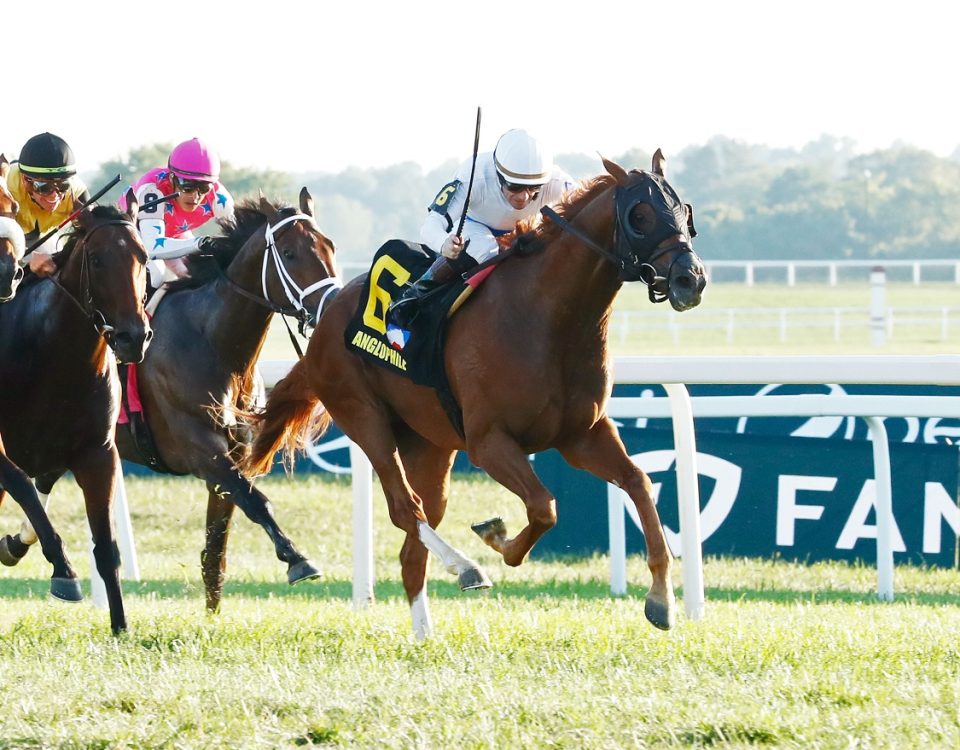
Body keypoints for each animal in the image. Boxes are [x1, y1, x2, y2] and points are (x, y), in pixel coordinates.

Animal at [0, 200, 151, 636]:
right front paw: (64, 572)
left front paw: (121, 628)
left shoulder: (97, 453)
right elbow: (25, 487)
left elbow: (106, 547)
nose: (134, 337)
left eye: (143, 257)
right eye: (97, 259)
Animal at [246, 153, 712, 640]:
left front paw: (661, 599)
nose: (690, 279)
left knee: (413, 548)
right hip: (363, 416)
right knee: (405, 508)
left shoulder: (581, 435)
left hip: (430, 446)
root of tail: (327, 312)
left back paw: (425, 634)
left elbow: (638, 483)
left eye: (684, 210)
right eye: (640, 216)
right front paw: (496, 538)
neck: (549, 318)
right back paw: (466, 567)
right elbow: (544, 507)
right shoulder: (489, 443)